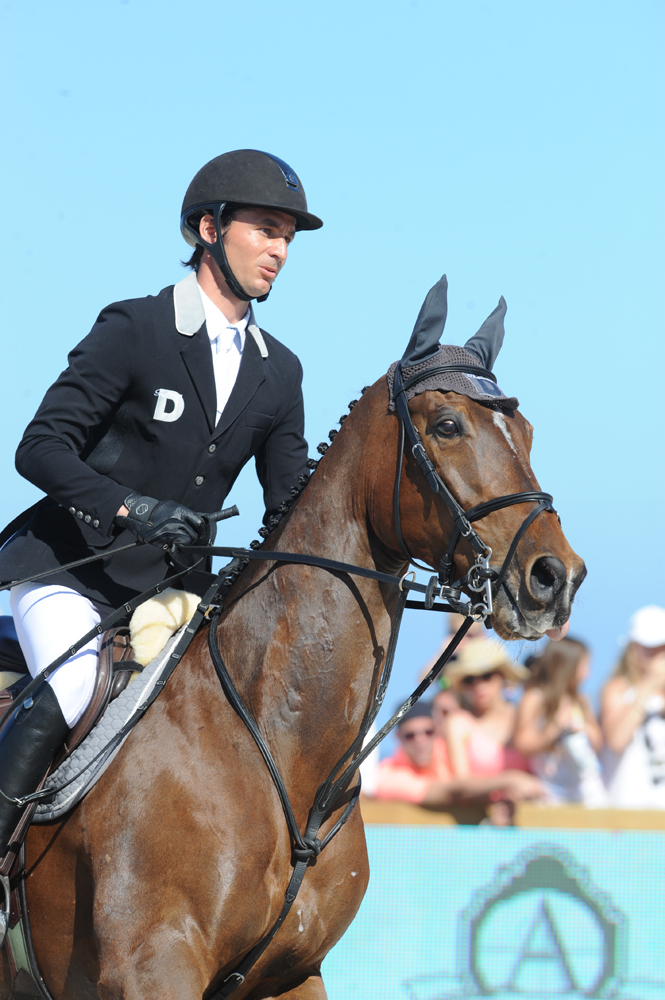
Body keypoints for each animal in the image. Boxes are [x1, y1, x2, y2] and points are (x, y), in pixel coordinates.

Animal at [2, 316, 585, 999]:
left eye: (526, 431)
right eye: (447, 426)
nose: (555, 578)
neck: (285, 750)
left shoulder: (293, 973)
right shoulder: (152, 967)